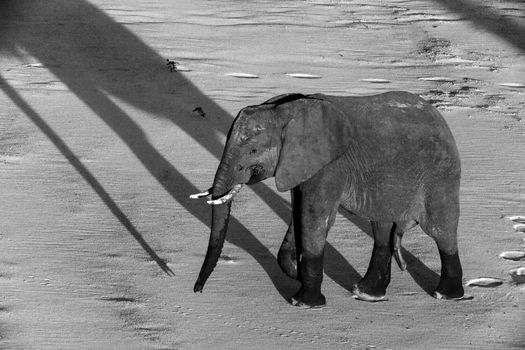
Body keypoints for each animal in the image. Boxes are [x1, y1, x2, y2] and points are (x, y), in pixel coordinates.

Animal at [189, 91, 466, 308]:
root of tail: (442, 120)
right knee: (382, 229)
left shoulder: (330, 166)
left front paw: (303, 302)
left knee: (440, 229)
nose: (197, 291)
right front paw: (295, 272)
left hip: (440, 175)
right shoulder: (300, 166)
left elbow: (313, 218)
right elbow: (299, 214)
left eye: (253, 151)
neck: (287, 110)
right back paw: (367, 294)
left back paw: (446, 295)